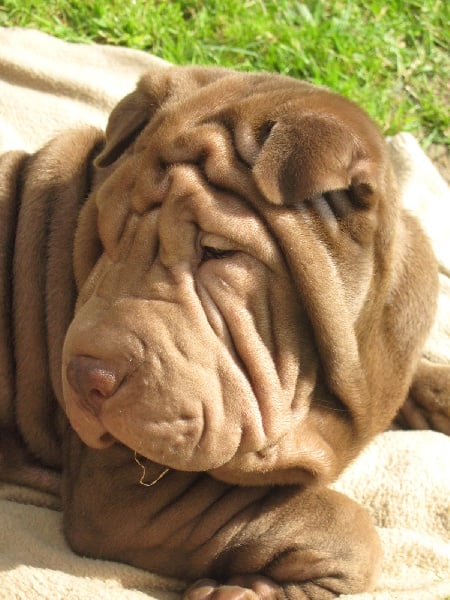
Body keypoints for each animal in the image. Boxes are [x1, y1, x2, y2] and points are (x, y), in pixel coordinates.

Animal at [0, 66, 448, 599]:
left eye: (216, 250)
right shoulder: (123, 491)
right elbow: (337, 523)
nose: (86, 379)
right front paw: (248, 588)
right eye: (104, 236)